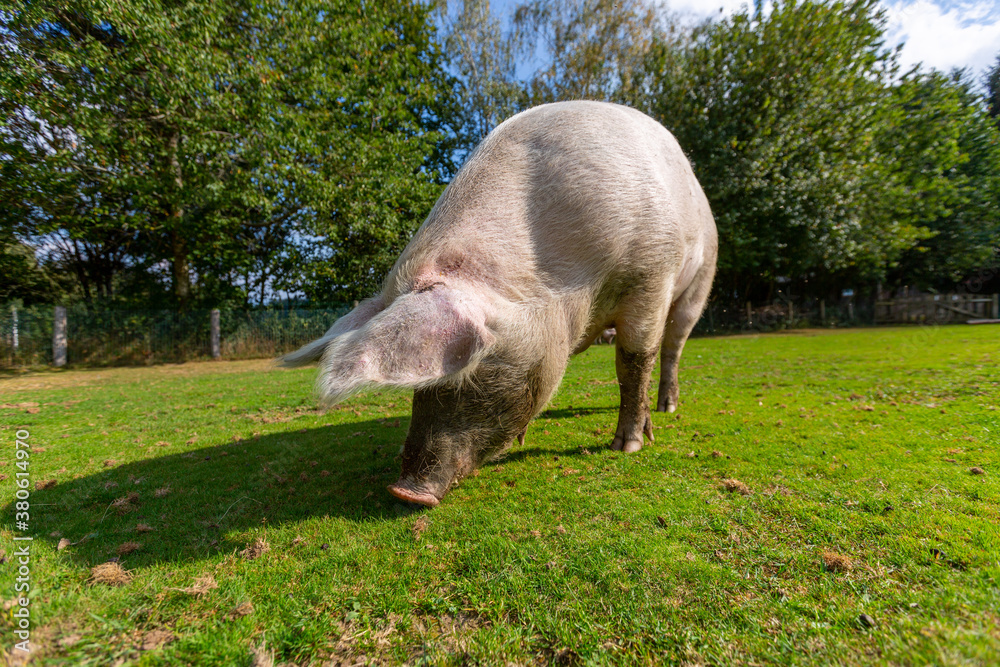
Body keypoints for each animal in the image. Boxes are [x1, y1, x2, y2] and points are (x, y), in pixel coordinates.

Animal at [284, 100, 720, 506]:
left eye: (473, 366)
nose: (404, 491)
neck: (568, 286)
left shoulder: (650, 275)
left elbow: (633, 362)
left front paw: (626, 447)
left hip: (701, 280)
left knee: (671, 348)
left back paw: (666, 409)